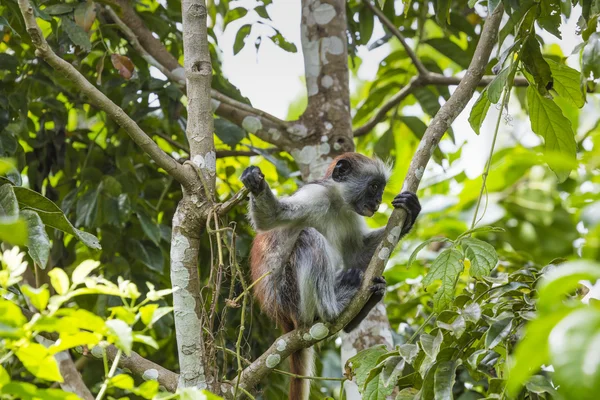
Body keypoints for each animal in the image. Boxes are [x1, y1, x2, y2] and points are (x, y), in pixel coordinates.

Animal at [240, 153, 422, 400]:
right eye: (374, 187)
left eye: (381, 189)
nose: (378, 202)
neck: (335, 203)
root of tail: (285, 321)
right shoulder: (314, 195)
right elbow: (270, 218)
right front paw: (255, 183)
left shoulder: (350, 214)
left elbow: (359, 254)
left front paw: (411, 212)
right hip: (291, 299)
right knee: (309, 236)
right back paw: (334, 308)